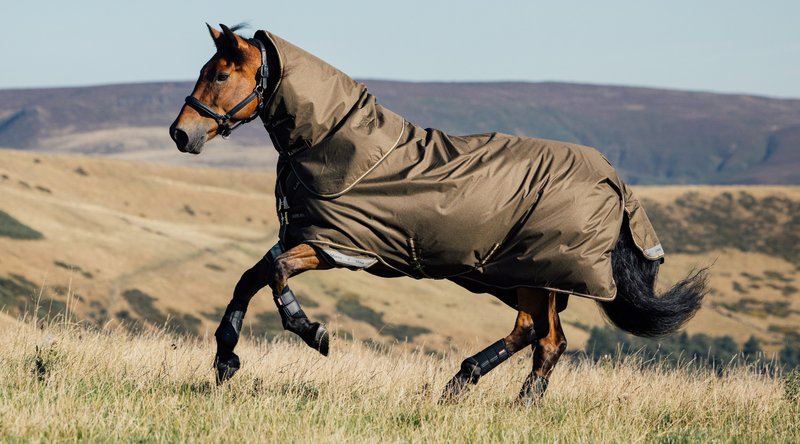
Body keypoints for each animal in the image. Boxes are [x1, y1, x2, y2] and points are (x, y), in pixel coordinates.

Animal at [169, 24, 708, 404]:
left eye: (220, 74)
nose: (180, 133)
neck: (332, 141)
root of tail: (614, 179)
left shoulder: (338, 246)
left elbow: (277, 275)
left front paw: (313, 333)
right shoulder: (307, 237)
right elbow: (249, 278)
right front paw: (225, 360)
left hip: (542, 272)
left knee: (546, 341)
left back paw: (513, 404)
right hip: (525, 274)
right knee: (534, 332)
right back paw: (461, 384)